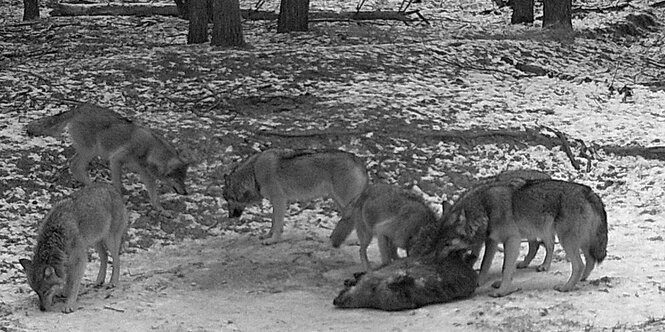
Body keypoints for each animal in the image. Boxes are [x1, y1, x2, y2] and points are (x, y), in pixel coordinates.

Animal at [19, 184, 128, 314]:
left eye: (46, 291)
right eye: (37, 292)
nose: (42, 309)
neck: (57, 236)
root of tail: (113, 190)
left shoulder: (79, 260)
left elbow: (73, 283)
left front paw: (68, 304)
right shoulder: (67, 261)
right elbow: (67, 279)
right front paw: (64, 292)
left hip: (109, 240)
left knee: (116, 259)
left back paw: (113, 282)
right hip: (94, 242)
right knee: (105, 257)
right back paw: (99, 281)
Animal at [26, 102, 191, 209]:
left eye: (184, 179)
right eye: (178, 179)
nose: (185, 193)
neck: (149, 150)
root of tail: (79, 108)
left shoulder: (145, 175)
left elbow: (154, 195)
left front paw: (161, 210)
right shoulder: (116, 160)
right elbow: (117, 183)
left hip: (90, 152)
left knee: (75, 166)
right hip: (91, 151)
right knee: (75, 166)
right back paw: (93, 186)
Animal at [222, 149, 368, 245]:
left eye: (228, 199)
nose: (230, 217)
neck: (254, 173)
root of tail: (359, 161)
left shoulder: (279, 201)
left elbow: (277, 224)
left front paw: (273, 240)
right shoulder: (277, 203)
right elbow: (273, 222)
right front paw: (268, 236)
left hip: (345, 202)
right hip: (339, 202)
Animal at [434, 178, 608, 296]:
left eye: (447, 244)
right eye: (439, 242)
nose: (435, 259)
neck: (485, 207)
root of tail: (589, 192)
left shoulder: (512, 240)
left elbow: (505, 268)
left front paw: (502, 291)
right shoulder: (493, 241)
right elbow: (486, 265)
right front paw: (483, 282)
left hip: (567, 240)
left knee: (578, 264)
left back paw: (566, 287)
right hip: (580, 240)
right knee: (589, 260)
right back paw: (582, 279)